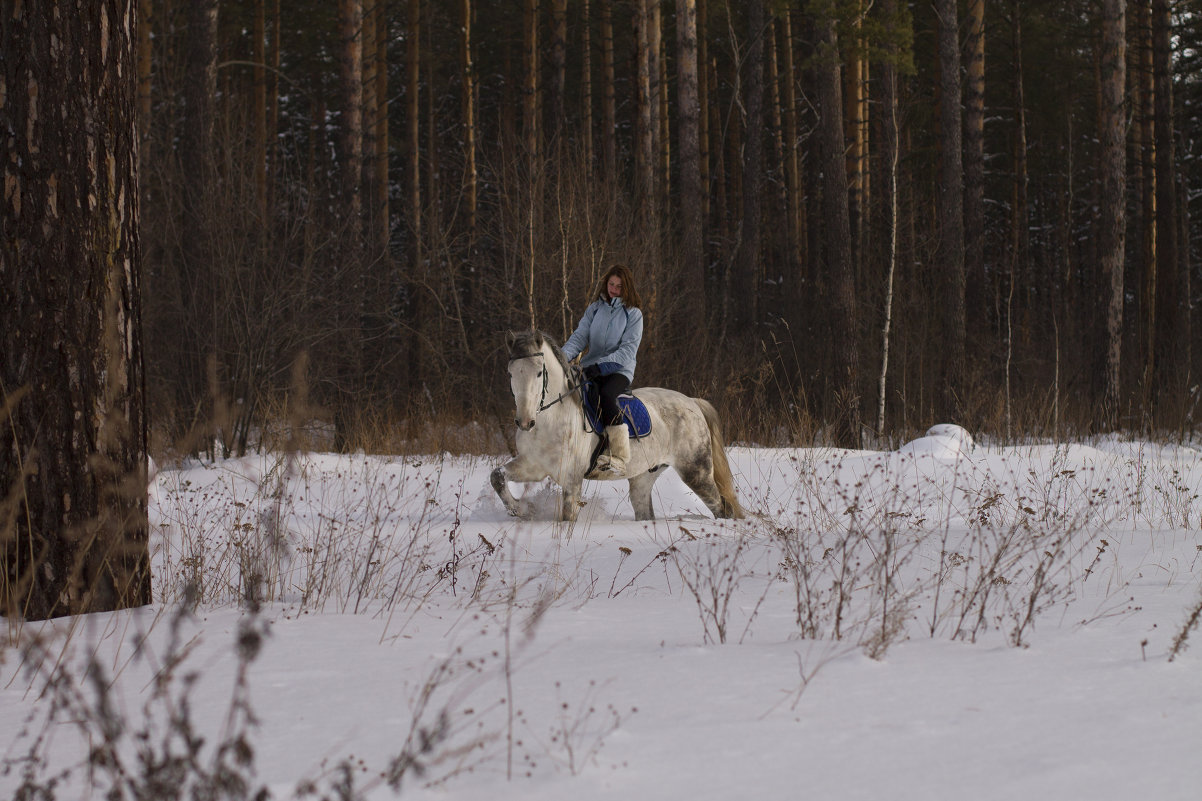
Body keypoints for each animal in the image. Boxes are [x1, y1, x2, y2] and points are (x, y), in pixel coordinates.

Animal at [490, 327, 740, 521]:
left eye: (539, 373)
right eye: (511, 373)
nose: (524, 422)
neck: (549, 421)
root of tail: (692, 402)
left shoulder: (572, 477)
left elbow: (567, 517)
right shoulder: (534, 465)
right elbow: (497, 476)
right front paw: (520, 509)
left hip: (696, 472)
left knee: (721, 509)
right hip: (643, 477)